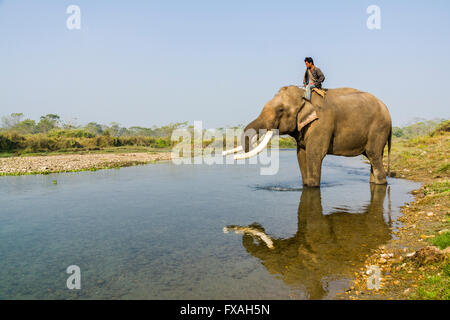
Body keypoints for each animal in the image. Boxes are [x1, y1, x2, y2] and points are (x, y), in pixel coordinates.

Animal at [223, 87, 392, 188]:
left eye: (280, 110)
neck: (303, 95)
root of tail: (388, 111)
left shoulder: (321, 123)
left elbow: (314, 154)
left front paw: (312, 187)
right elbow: (301, 154)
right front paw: (305, 186)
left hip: (378, 128)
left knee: (373, 154)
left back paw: (382, 183)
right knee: (373, 156)